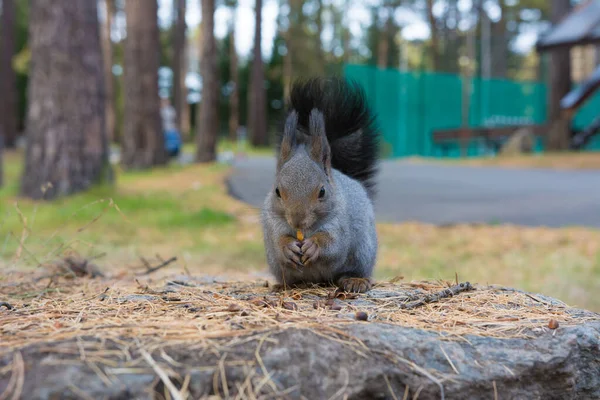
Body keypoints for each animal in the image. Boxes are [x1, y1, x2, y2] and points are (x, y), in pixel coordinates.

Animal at [258, 76, 380, 292]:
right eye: (277, 191)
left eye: (322, 191)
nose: (297, 220)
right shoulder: (273, 222)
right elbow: (277, 239)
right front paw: (287, 247)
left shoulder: (340, 224)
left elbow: (333, 243)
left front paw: (314, 245)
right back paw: (285, 285)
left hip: (363, 252)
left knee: (352, 271)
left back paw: (355, 280)